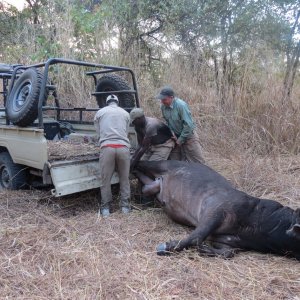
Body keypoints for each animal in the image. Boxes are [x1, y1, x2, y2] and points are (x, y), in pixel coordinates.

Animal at [134, 159, 300, 260]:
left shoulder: (229, 242)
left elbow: (228, 253)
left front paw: (204, 250)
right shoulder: (216, 211)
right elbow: (197, 236)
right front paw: (164, 247)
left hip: (155, 186)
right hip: (161, 164)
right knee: (140, 163)